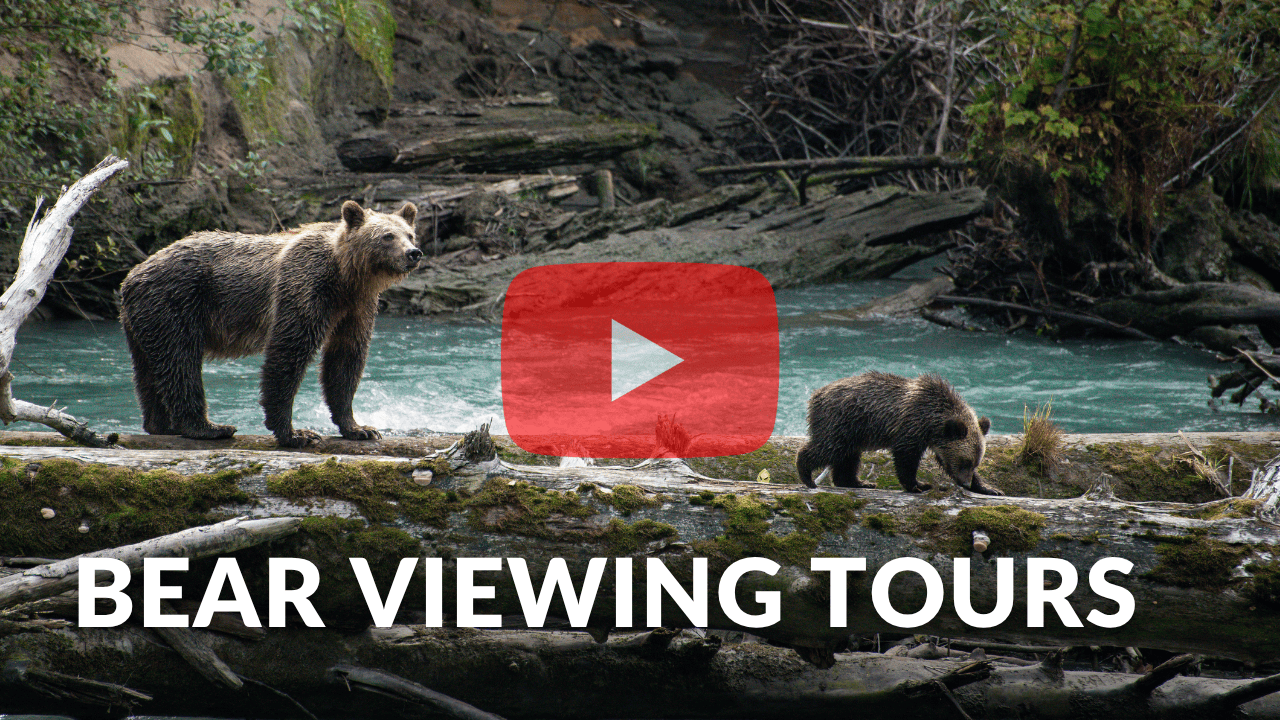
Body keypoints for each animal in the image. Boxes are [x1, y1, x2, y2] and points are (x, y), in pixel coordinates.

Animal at [119, 200, 422, 447]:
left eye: (409, 233)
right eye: (387, 236)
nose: (413, 253)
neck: (345, 276)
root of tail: (132, 275)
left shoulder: (357, 308)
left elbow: (346, 360)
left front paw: (360, 428)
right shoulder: (306, 287)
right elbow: (289, 350)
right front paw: (296, 433)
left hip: (143, 320)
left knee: (149, 369)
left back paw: (161, 425)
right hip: (176, 302)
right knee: (181, 361)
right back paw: (209, 427)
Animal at [795, 371, 1000, 495]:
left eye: (975, 462)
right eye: (965, 461)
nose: (965, 483)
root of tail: (815, 394)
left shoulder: (938, 440)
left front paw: (989, 488)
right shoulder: (911, 426)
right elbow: (906, 458)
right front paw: (919, 485)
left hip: (853, 431)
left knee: (848, 457)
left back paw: (858, 482)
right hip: (841, 422)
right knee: (828, 448)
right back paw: (807, 475)